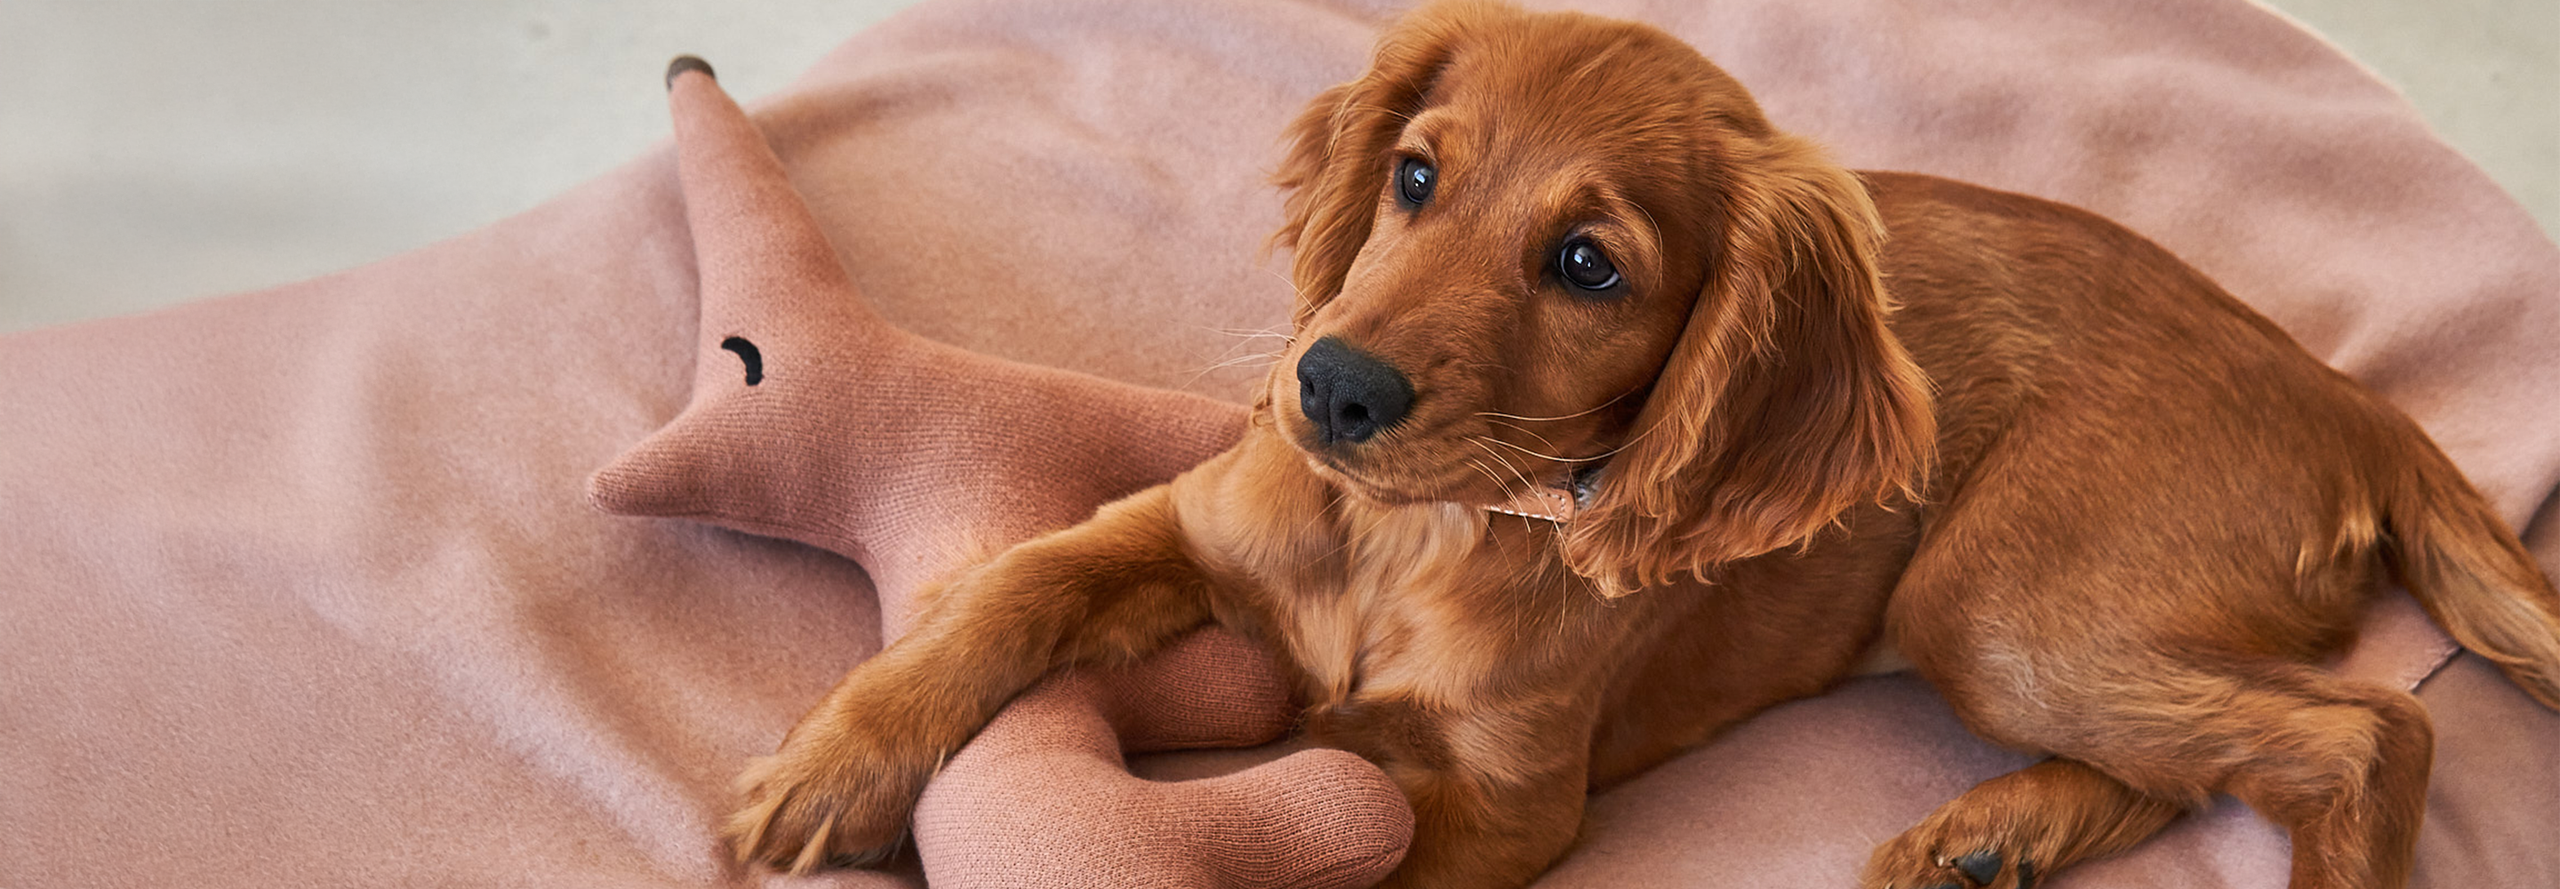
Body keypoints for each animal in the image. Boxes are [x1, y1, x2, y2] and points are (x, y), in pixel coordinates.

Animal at [721, 3, 2560, 886]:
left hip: (1995, 597)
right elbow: (999, 592)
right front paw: (823, 767)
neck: (1415, 534)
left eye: (1590, 266)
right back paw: (1991, 838)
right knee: (2223, 753)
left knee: (2368, 733)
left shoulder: (1509, 807)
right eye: (1416, 173)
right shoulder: (1184, 522)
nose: (1330, 388)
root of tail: (2356, 398)